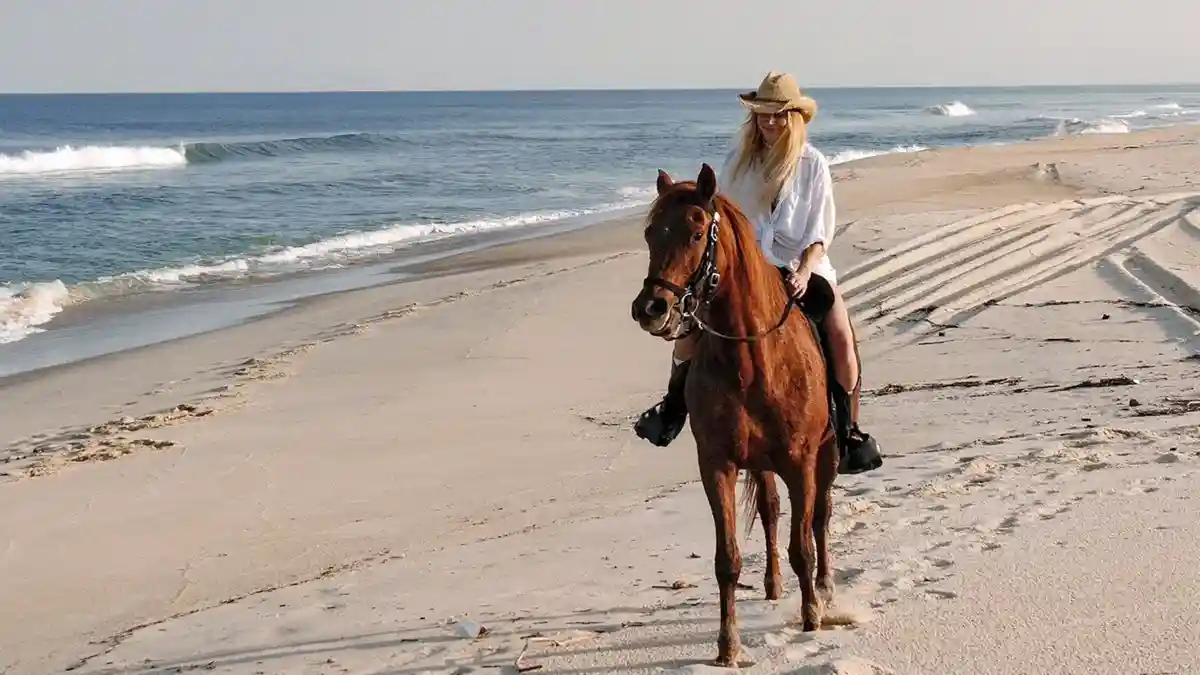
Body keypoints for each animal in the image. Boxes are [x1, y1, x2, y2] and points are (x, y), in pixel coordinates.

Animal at [629, 163, 841, 667]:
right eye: (649, 233)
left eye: (696, 232)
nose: (651, 308)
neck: (752, 358)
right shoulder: (717, 465)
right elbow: (727, 559)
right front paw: (728, 646)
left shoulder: (801, 461)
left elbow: (804, 543)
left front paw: (811, 617)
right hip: (760, 464)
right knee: (770, 511)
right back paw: (774, 585)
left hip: (826, 454)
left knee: (820, 517)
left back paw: (824, 588)